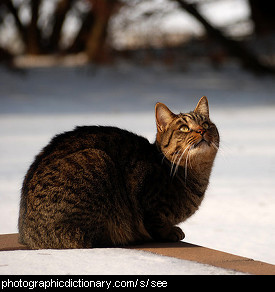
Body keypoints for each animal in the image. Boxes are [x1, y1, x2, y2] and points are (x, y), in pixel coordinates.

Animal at [17, 96, 220, 249]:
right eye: (184, 128)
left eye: (206, 124)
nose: (202, 130)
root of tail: (27, 235)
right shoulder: (148, 203)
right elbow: (157, 224)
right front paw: (171, 231)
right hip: (97, 160)